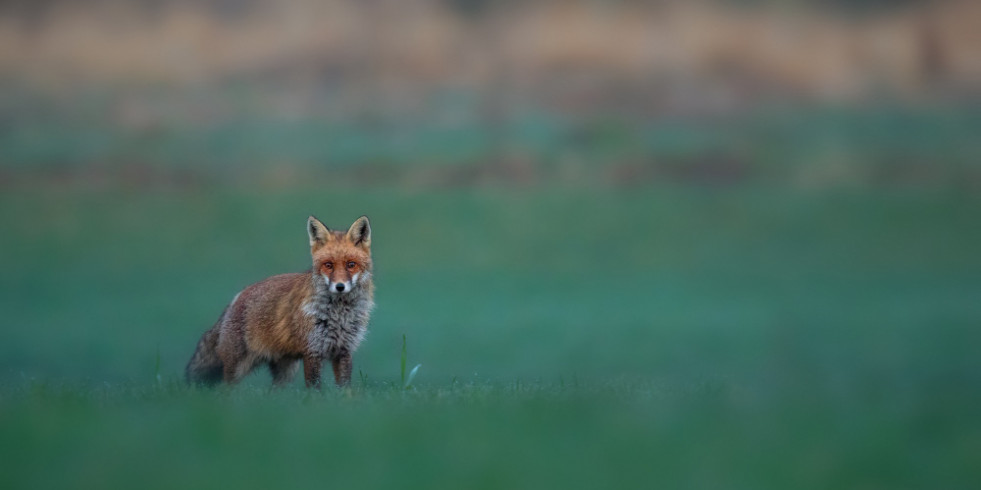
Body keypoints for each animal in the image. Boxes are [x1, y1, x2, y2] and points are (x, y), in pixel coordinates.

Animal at [186, 216, 374, 388]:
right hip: (238, 367)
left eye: (351, 264)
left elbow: (345, 389)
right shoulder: (313, 351)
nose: (340, 286)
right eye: (328, 265)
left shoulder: (344, 350)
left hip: (286, 371)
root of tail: (238, 296)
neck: (340, 313)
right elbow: (314, 390)